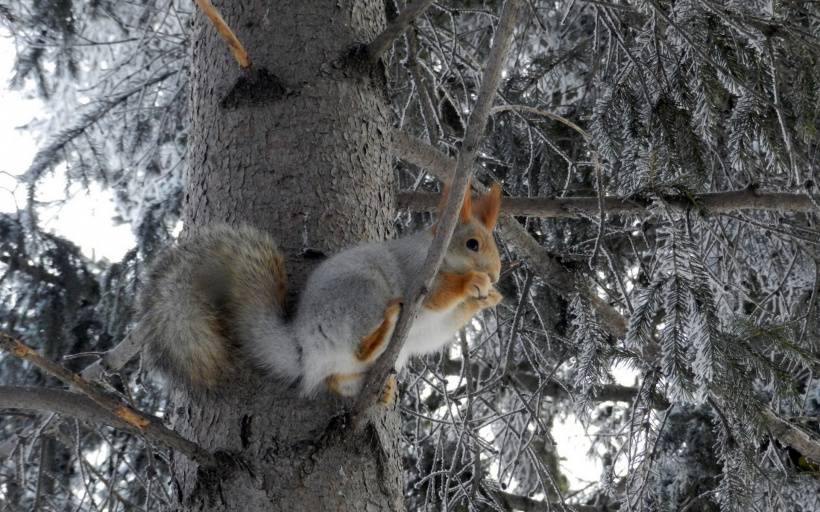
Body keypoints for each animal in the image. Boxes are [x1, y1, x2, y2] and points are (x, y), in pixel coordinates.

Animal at [136, 182, 500, 398]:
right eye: (472, 243)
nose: (496, 273)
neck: (441, 255)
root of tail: (305, 349)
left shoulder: (438, 324)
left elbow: (443, 326)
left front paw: (488, 300)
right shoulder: (417, 272)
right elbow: (436, 295)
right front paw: (472, 284)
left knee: (339, 378)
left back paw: (381, 390)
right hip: (361, 296)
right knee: (360, 348)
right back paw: (383, 331)